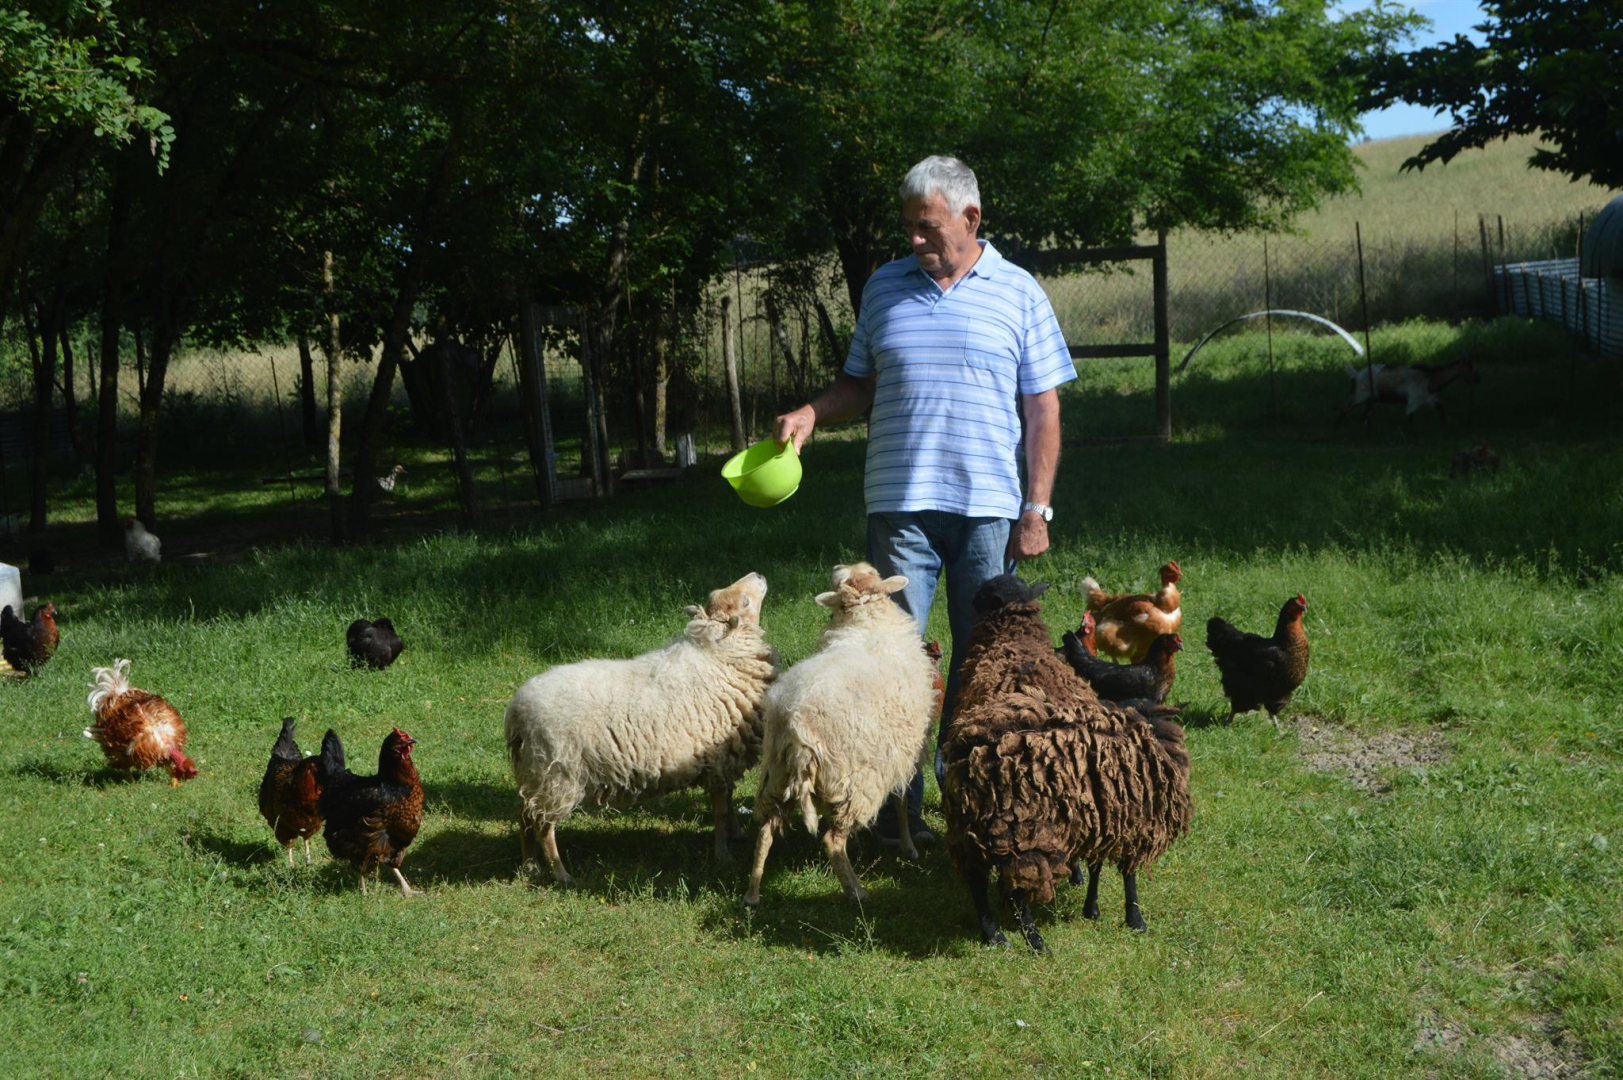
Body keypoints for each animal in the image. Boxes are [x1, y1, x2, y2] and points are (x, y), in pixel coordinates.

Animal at [504, 571, 779, 884]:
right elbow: (720, 812)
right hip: (556, 774)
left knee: (523, 814)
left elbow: (729, 802)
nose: (758, 575)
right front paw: (723, 856)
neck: (720, 655)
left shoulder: (724, 759)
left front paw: (736, 834)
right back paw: (561, 873)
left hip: (533, 773)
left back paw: (530, 866)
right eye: (745, 601)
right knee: (543, 825)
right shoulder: (718, 760)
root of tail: (516, 713)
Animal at [743, 563, 939, 908]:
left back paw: (753, 893)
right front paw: (908, 846)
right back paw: (856, 891)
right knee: (831, 840)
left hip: (776, 774)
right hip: (856, 780)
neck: (867, 622)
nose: (837, 566)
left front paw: (863, 845)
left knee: (766, 829)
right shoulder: (903, 756)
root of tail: (795, 723)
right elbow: (902, 801)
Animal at [941, 574, 1192, 952]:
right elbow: (1126, 872)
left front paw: (1093, 905)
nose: (970, 598)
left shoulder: (1101, 809)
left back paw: (994, 934)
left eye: (986, 592)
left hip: (974, 824)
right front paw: (1132, 917)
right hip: (1025, 830)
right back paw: (1034, 941)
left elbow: (1100, 861)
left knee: (977, 877)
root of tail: (975, 753)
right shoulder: (1127, 814)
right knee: (1014, 891)